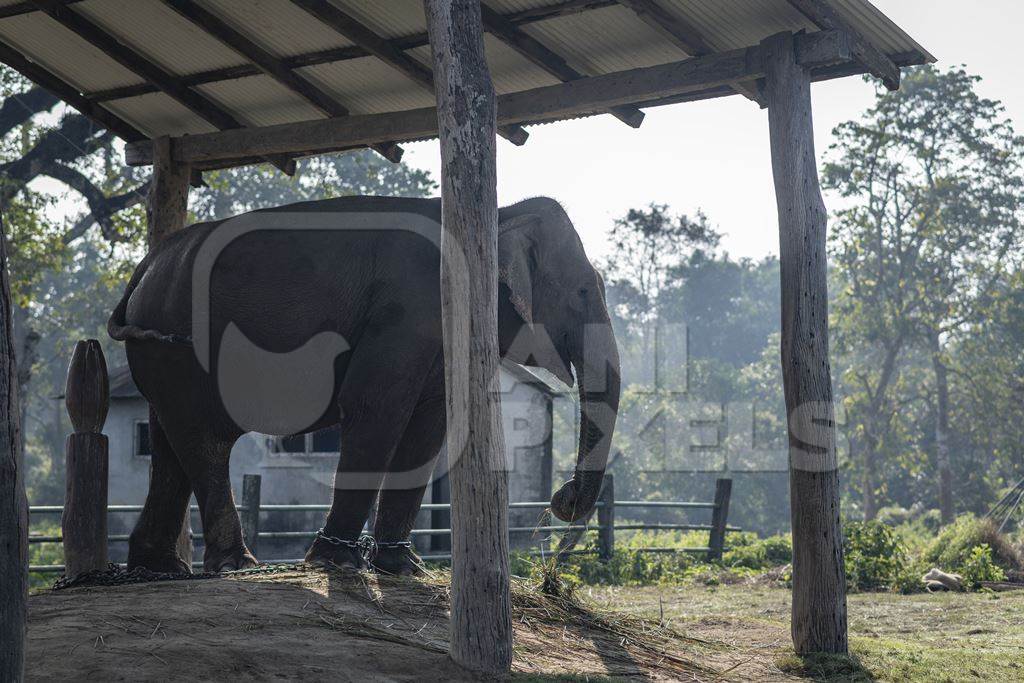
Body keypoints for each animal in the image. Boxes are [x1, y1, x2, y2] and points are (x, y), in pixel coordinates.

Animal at [108, 195, 620, 575]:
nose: (562, 497)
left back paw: (157, 569)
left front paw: (403, 567)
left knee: (169, 444)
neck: (498, 213)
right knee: (204, 440)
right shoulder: (407, 311)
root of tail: (144, 266)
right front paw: (336, 562)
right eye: (582, 292)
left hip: (162, 351)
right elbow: (376, 407)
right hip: (180, 344)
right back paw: (236, 565)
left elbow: (430, 424)